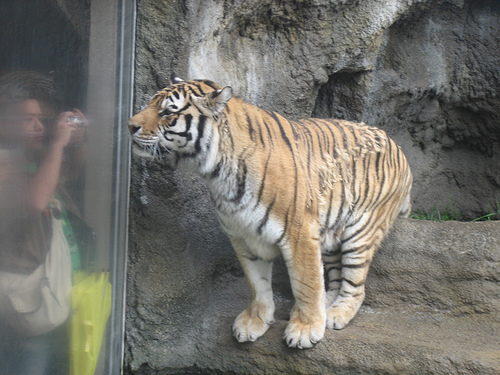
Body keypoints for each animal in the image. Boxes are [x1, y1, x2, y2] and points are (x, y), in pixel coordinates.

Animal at [129, 73, 414, 350]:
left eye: (168, 112)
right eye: (151, 103)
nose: (130, 126)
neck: (217, 172)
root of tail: (397, 146)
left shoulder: (300, 233)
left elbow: (306, 283)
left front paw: (305, 329)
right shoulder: (242, 235)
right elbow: (257, 284)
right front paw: (254, 322)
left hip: (360, 230)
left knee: (355, 285)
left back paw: (334, 314)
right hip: (330, 231)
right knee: (333, 278)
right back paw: (325, 305)